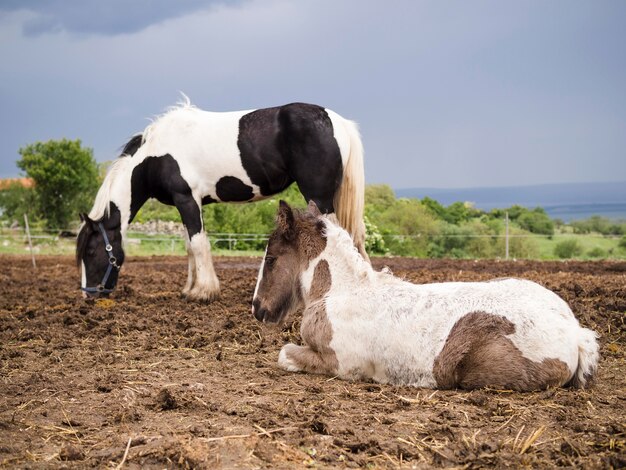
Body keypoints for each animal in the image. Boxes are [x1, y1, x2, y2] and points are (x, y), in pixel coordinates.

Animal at [75, 98, 366, 302]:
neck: (156, 154)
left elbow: (198, 244)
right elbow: (190, 246)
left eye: (90, 251)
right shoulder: (188, 203)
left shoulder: (187, 200)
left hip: (319, 196)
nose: (88, 294)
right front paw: (189, 289)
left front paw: (203, 292)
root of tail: (339, 123)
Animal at [251, 200, 596, 392]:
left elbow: (284, 353)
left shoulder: (342, 364)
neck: (342, 292)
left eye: (271, 259)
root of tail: (575, 331)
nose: (257, 308)